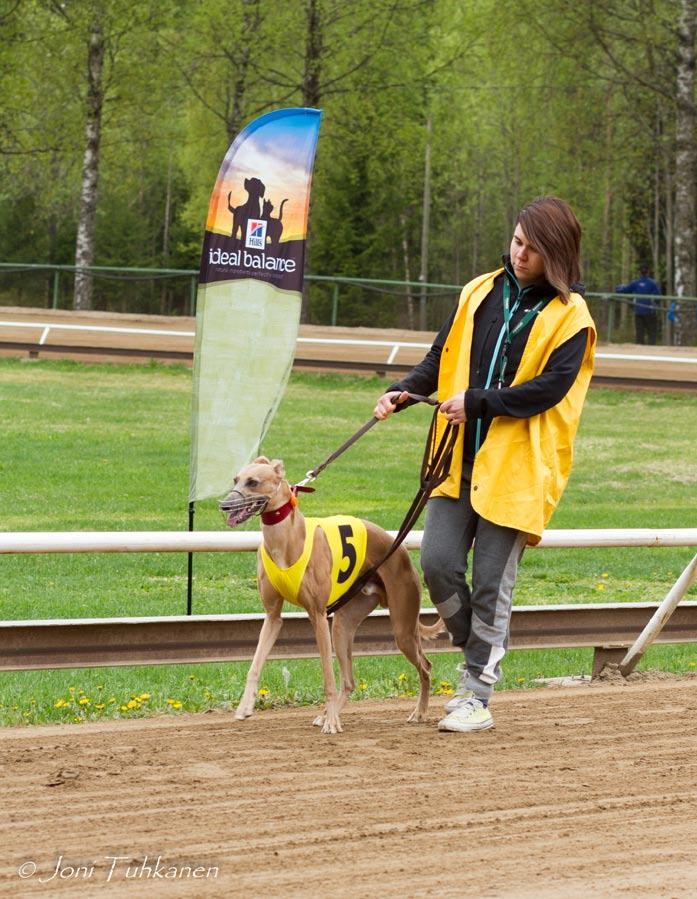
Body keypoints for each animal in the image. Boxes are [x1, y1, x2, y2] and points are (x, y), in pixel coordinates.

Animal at [220, 458, 436, 732]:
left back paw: (419, 712)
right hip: (343, 626)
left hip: (402, 627)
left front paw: (332, 723)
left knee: (425, 666)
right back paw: (328, 714)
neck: (287, 539)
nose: (224, 505)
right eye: (235, 480)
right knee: (350, 680)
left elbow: (328, 677)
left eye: (253, 482)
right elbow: (255, 664)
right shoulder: (273, 616)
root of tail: (401, 549)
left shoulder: (318, 615)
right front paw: (244, 707)